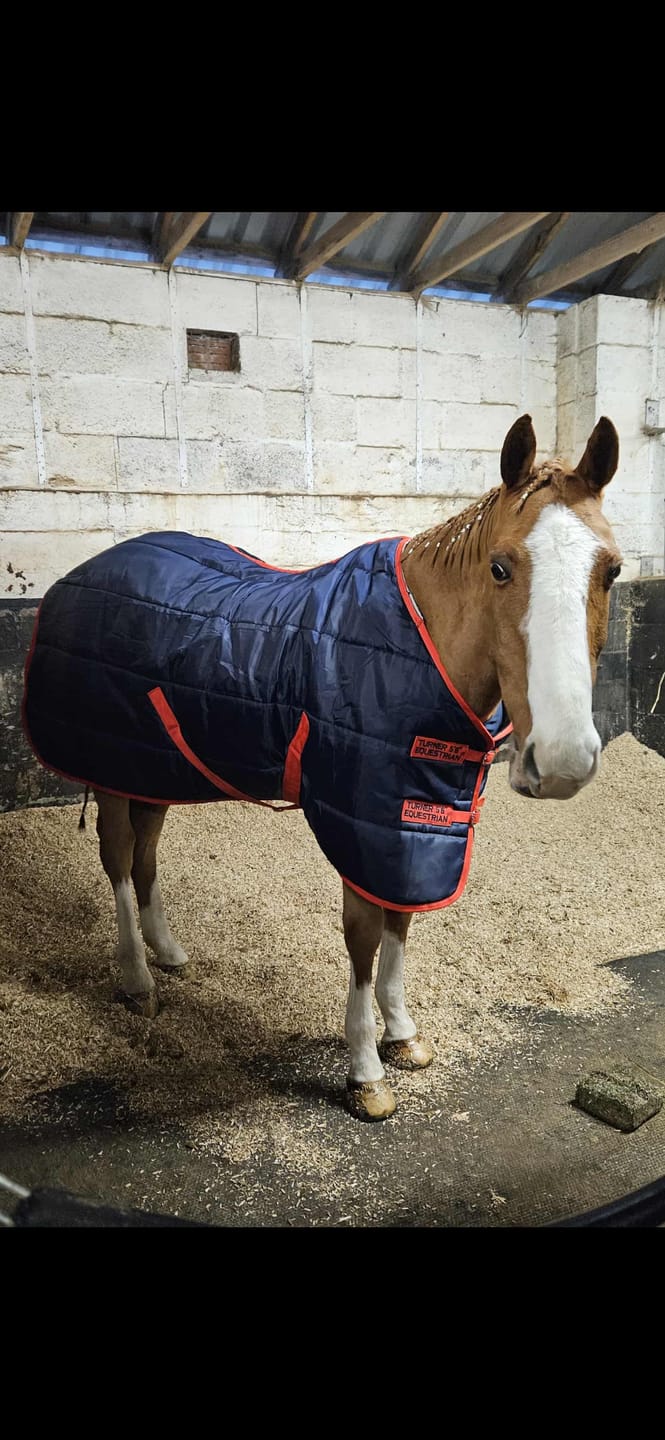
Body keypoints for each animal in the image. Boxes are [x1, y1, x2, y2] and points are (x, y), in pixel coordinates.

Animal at [22, 413, 622, 1121]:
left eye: (613, 570)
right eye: (500, 567)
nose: (562, 760)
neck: (413, 652)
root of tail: (76, 575)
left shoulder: (411, 826)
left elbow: (401, 923)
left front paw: (403, 1036)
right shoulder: (362, 821)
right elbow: (364, 938)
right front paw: (365, 1072)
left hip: (156, 767)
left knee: (145, 855)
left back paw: (167, 953)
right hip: (111, 763)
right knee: (117, 856)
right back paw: (137, 980)